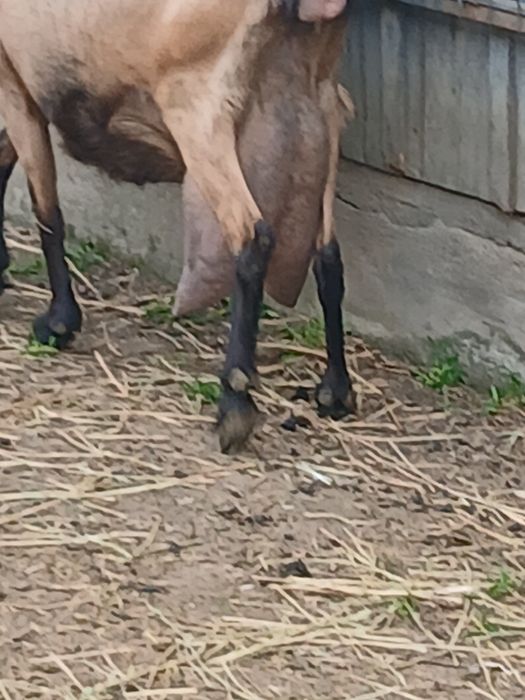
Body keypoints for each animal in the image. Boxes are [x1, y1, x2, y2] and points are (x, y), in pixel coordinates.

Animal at [0, 0, 354, 452]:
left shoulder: (14, 81)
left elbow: (46, 210)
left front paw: (59, 322)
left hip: (199, 108)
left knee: (252, 237)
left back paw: (234, 405)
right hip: (323, 107)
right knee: (328, 255)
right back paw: (335, 390)